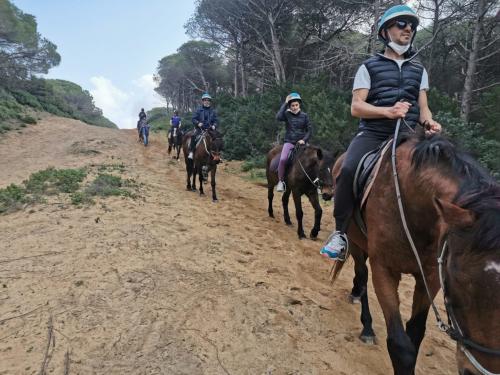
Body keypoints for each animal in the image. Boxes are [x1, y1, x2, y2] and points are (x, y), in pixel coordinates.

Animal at [332, 131, 500, 374]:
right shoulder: (384, 270)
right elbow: (400, 346)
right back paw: (367, 327)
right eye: (458, 281)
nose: (474, 370)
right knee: (362, 276)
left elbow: (416, 333)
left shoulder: (430, 276)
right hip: (355, 243)